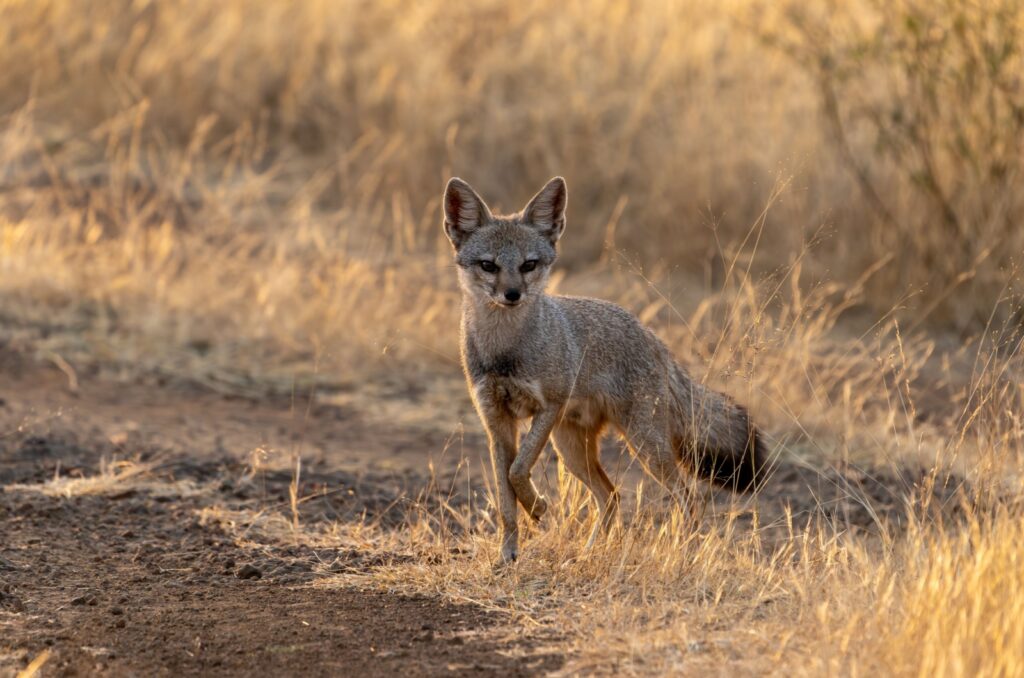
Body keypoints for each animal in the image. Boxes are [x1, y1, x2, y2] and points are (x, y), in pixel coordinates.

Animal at [444, 178, 765, 565]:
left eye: (529, 265)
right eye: (488, 265)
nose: (512, 294)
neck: (505, 351)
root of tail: (654, 339)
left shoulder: (549, 406)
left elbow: (518, 470)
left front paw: (537, 507)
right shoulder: (496, 422)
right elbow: (506, 493)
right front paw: (508, 553)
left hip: (644, 445)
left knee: (690, 496)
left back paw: (682, 551)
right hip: (572, 450)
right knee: (611, 495)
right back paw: (589, 552)